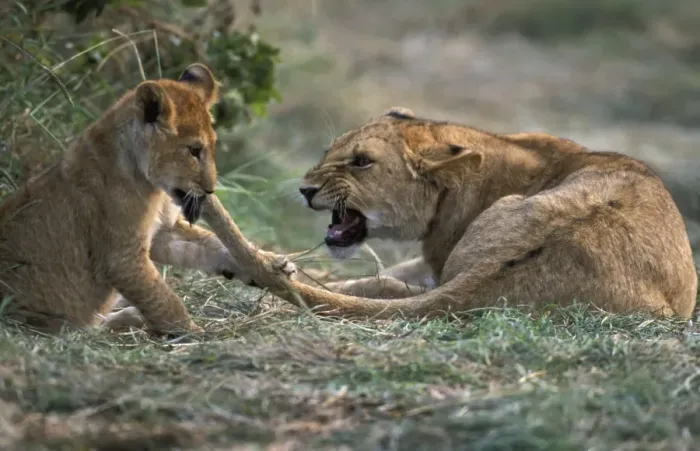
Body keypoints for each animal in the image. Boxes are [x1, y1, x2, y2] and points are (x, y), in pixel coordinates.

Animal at [0, 63, 294, 335]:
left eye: (212, 146)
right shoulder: (121, 258)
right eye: (194, 150)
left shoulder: (162, 233)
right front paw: (196, 334)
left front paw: (268, 265)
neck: (154, 188)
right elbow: (163, 299)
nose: (211, 190)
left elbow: (207, 244)